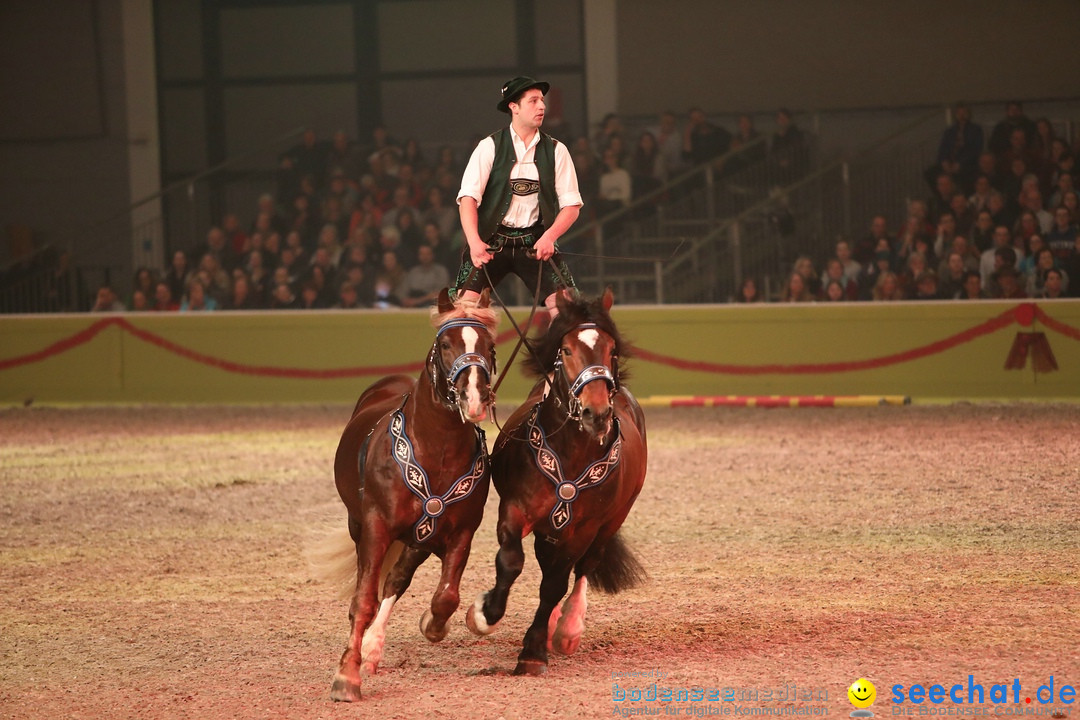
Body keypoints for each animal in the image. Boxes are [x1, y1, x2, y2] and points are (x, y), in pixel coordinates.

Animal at [326, 289, 498, 703]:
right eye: (446, 344)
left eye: (489, 346)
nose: (474, 396)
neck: (436, 451)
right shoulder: (376, 526)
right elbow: (363, 599)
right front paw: (346, 678)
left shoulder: (461, 532)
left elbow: (446, 597)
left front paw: (434, 624)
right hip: (361, 527)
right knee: (374, 586)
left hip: (419, 539)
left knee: (397, 580)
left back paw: (373, 648)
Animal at [466, 287, 648, 677]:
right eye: (565, 350)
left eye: (612, 350)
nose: (596, 413)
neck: (571, 453)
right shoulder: (515, 509)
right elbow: (511, 562)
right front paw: (484, 614)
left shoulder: (582, 528)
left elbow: (554, 585)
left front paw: (533, 651)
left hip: (610, 521)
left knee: (583, 568)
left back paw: (566, 629)